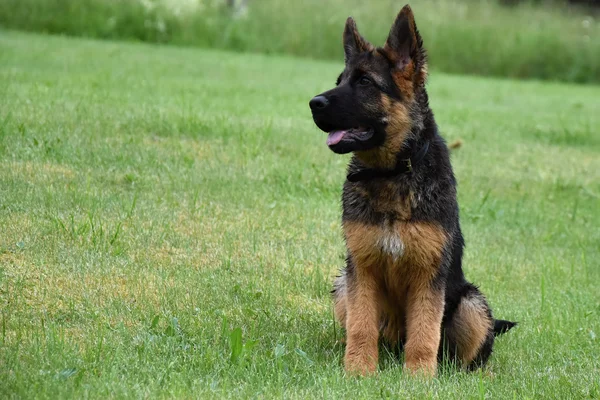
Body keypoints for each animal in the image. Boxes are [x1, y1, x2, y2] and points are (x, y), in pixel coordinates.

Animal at [310, 4, 516, 376]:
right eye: (339, 82)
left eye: (365, 82)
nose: (312, 103)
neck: (392, 173)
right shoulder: (361, 269)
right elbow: (361, 327)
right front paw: (358, 371)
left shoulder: (428, 275)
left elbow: (424, 332)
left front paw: (418, 378)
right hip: (343, 284)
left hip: (472, 303)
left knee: (468, 355)